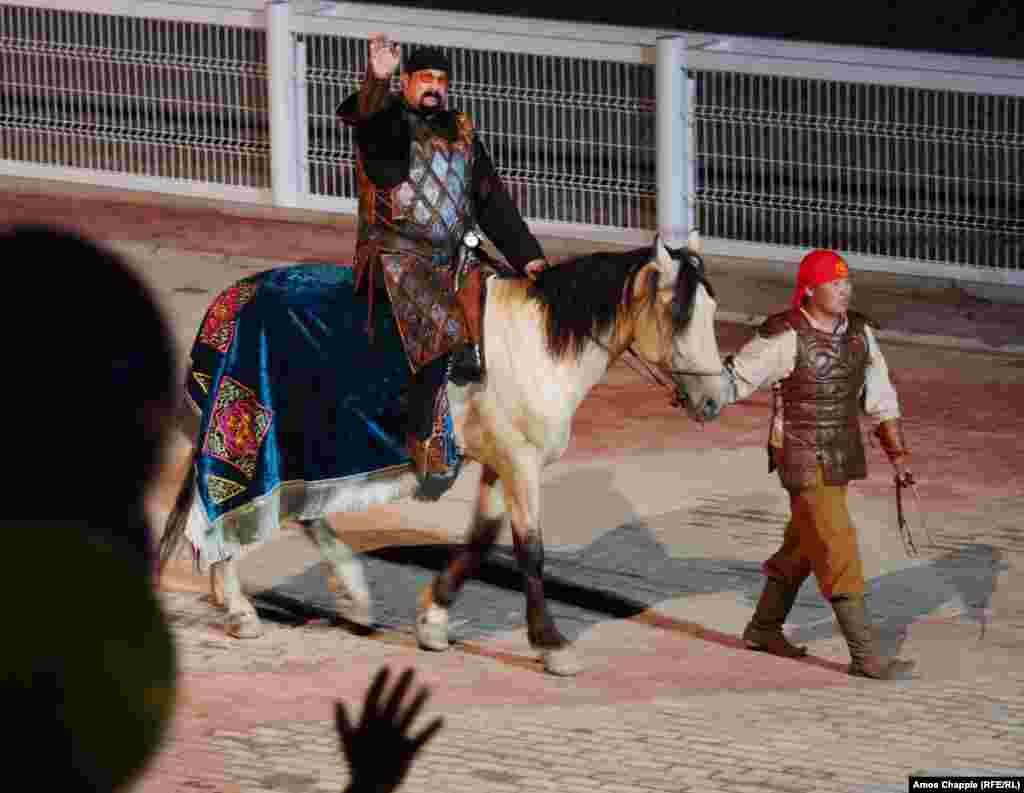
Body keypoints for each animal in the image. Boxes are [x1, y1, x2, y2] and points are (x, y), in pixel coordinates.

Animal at [157, 229, 720, 676]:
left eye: (712, 311)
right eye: (678, 315)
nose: (714, 400)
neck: (536, 346)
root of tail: (231, 299)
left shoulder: (501, 461)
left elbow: (480, 540)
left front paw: (433, 620)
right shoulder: (521, 463)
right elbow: (530, 550)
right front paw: (552, 644)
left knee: (299, 509)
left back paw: (351, 596)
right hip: (254, 436)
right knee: (227, 505)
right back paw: (239, 607)